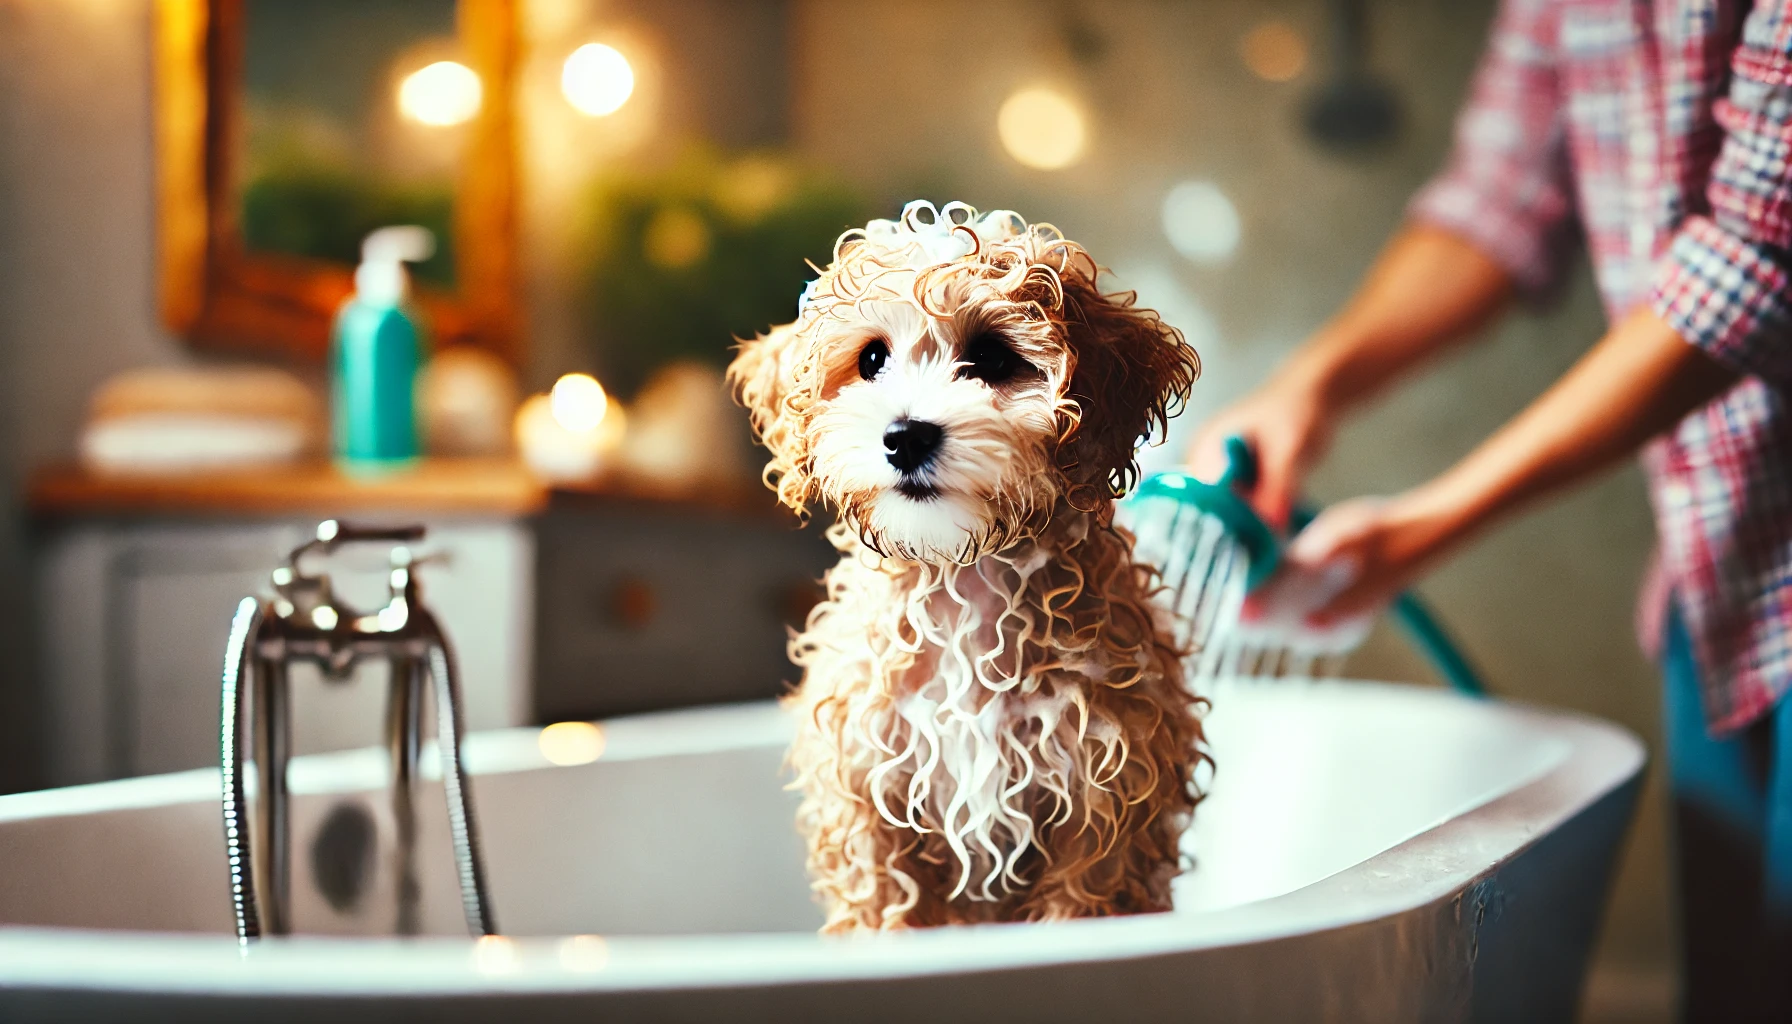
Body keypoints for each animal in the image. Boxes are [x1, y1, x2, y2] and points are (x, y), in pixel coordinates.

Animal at [731, 199, 1218, 932]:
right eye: (871, 358)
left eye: (990, 356)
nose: (906, 436)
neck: (962, 582)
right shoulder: (868, 798)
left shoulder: (1107, 801)